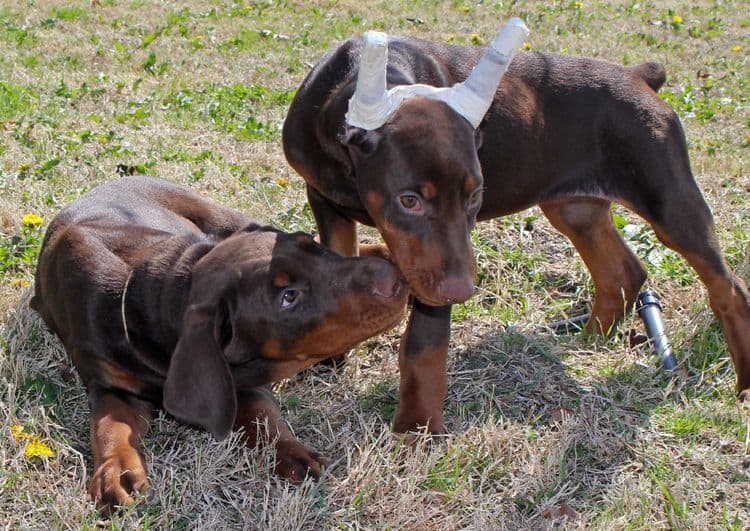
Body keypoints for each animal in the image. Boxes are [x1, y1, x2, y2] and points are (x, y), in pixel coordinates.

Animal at [30, 177, 412, 512]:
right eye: (288, 298)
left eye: (312, 249)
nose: (395, 281)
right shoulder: (111, 384)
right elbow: (109, 426)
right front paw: (117, 473)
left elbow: (261, 415)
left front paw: (291, 452)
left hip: (227, 219)